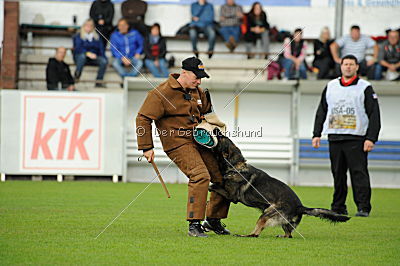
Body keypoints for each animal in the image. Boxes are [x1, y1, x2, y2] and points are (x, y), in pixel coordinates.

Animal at [209, 130, 350, 238]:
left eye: (222, 138)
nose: (216, 129)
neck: (235, 167)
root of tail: (299, 206)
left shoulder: (231, 195)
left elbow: (215, 186)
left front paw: (210, 189)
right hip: (281, 221)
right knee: (289, 235)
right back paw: (281, 236)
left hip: (266, 214)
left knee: (256, 234)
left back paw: (245, 235)